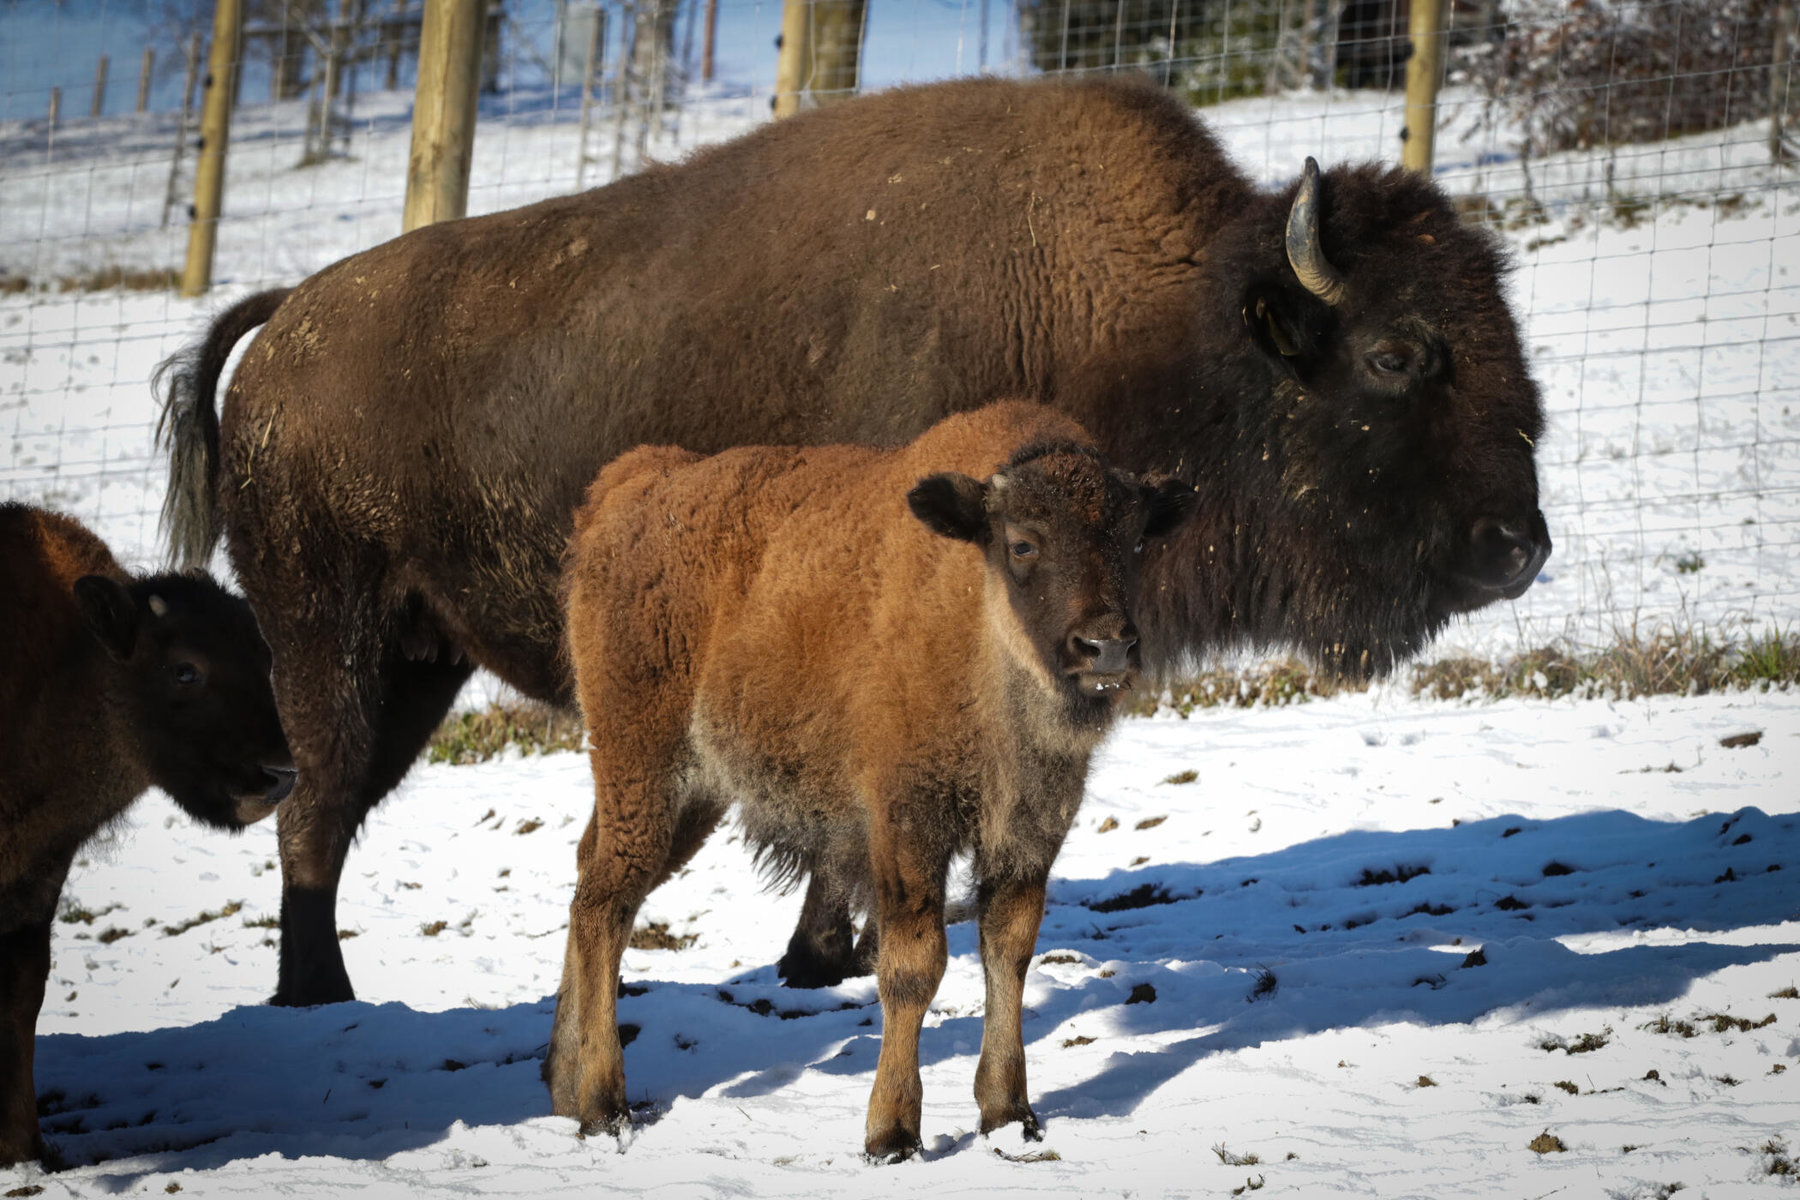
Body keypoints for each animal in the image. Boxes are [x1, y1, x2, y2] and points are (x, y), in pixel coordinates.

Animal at [0, 503, 291, 1165]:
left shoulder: (37, 875)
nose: (278, 775)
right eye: (185, 670)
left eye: (264, 662)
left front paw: (25, 1148)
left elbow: (23, 992)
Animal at [158, 75, 1548, 1007]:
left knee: (329, 804)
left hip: (417, 659)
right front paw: (827, 954)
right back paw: (317, 997)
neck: (1151, 320)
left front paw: (820, 956)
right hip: (329, 638)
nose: (1521, 544)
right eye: (1396, 353)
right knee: (315, 803)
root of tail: (287, 327)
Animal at [547, 406, 1195, 1165]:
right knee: (606, 906)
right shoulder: (907, 823)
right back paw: (603, 1108)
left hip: (689, 794)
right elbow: (914, 966)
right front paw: (892, 1135)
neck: (977, 611)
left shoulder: (1027, 833)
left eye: (1135, 541)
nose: (1107, 647)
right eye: (1023, 543)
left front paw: (1009, 1115)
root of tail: (630, 488)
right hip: (644, 770)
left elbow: (1008, 953)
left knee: (589, 881)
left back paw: (561, 1085)